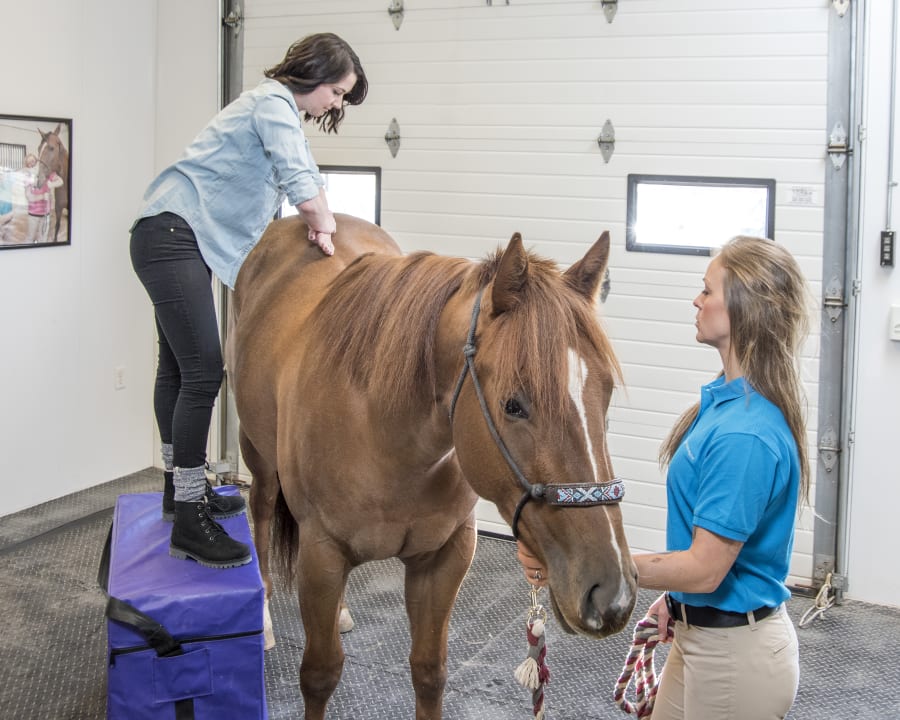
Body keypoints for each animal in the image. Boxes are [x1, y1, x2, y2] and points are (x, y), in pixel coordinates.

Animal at [232, 214, 640, 720]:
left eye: (605, 396)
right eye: (513, 405)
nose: (612, 594)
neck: (384, 432)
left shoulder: (445, 558)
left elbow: (429, 671)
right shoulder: (321, 554)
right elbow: (320, 674)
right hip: (259, 457)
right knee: (261, 512)